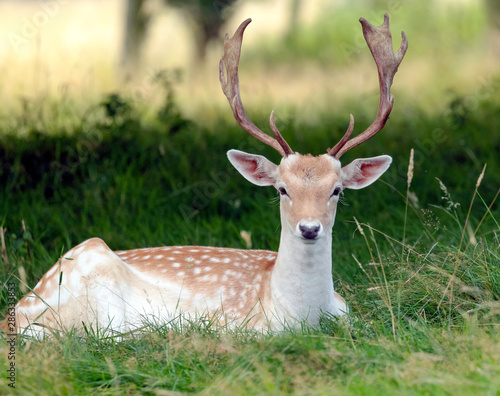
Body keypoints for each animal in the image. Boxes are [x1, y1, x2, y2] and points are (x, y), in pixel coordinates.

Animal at [0, 15, 406, 338]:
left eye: (336, 190)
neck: (303, 315)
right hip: (89, 287)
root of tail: (16, 312)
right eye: (281, 189)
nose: (309, 228)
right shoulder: (240, 325)